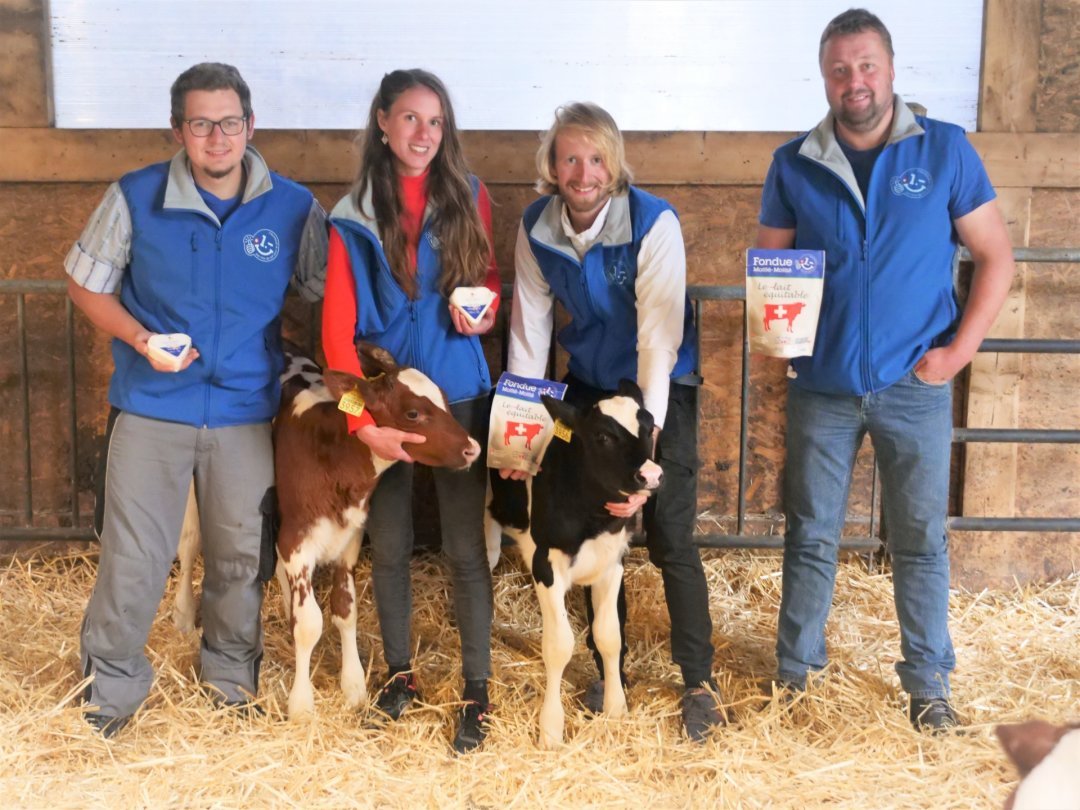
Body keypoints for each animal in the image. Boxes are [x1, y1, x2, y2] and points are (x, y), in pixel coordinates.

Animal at [172, 339, 477, 721]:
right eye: (412, 414)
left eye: (445, 399)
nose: (472, 448)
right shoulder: (297, 540)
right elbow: (309, 624)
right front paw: (302, 704)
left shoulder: (349, 538)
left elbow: (344, 611)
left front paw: (354, 685)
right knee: (187, 547)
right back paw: (184, 615)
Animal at [488, 380, 656, 747]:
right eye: (603, 436)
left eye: (650, 426)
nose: (651, 474)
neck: (592, 519)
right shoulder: (546, 565)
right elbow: (559, 646)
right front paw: (550, 729)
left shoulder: (613, 561)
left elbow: (609, 636)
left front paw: (616, 709)